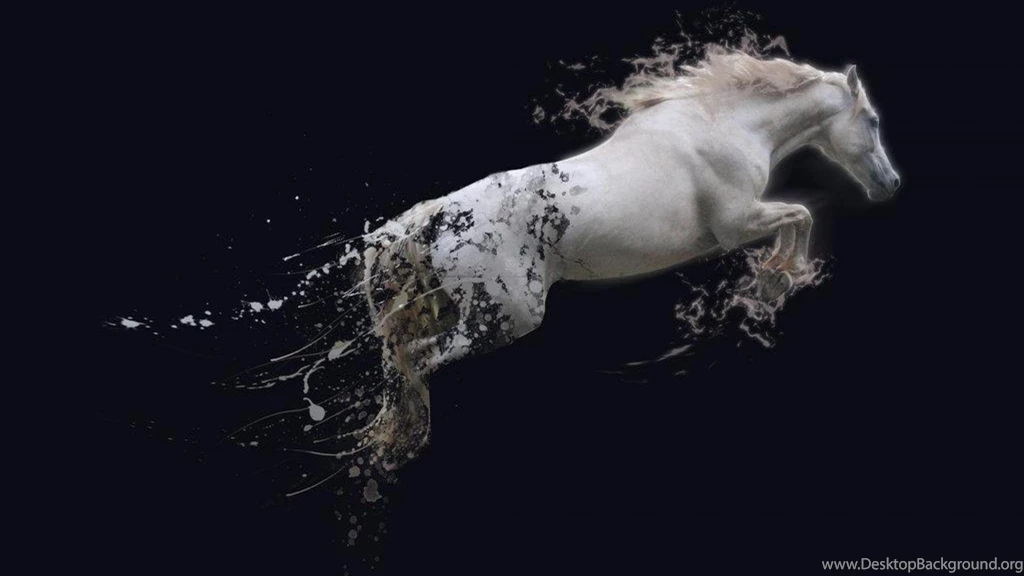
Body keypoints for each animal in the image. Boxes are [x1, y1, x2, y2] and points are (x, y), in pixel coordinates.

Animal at [360, 51, 900, 468]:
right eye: (873, 121)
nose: (890, 184)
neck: (722, 125)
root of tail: (436, 219)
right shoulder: (737, 224)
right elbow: (802, 216)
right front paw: (779, 280)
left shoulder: (747, 220)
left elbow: (798, 218)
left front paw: (774, 281)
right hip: (504, 318)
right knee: (418, 358)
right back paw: (408, 442)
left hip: (462, 311)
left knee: (397, 357)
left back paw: (393, 443)